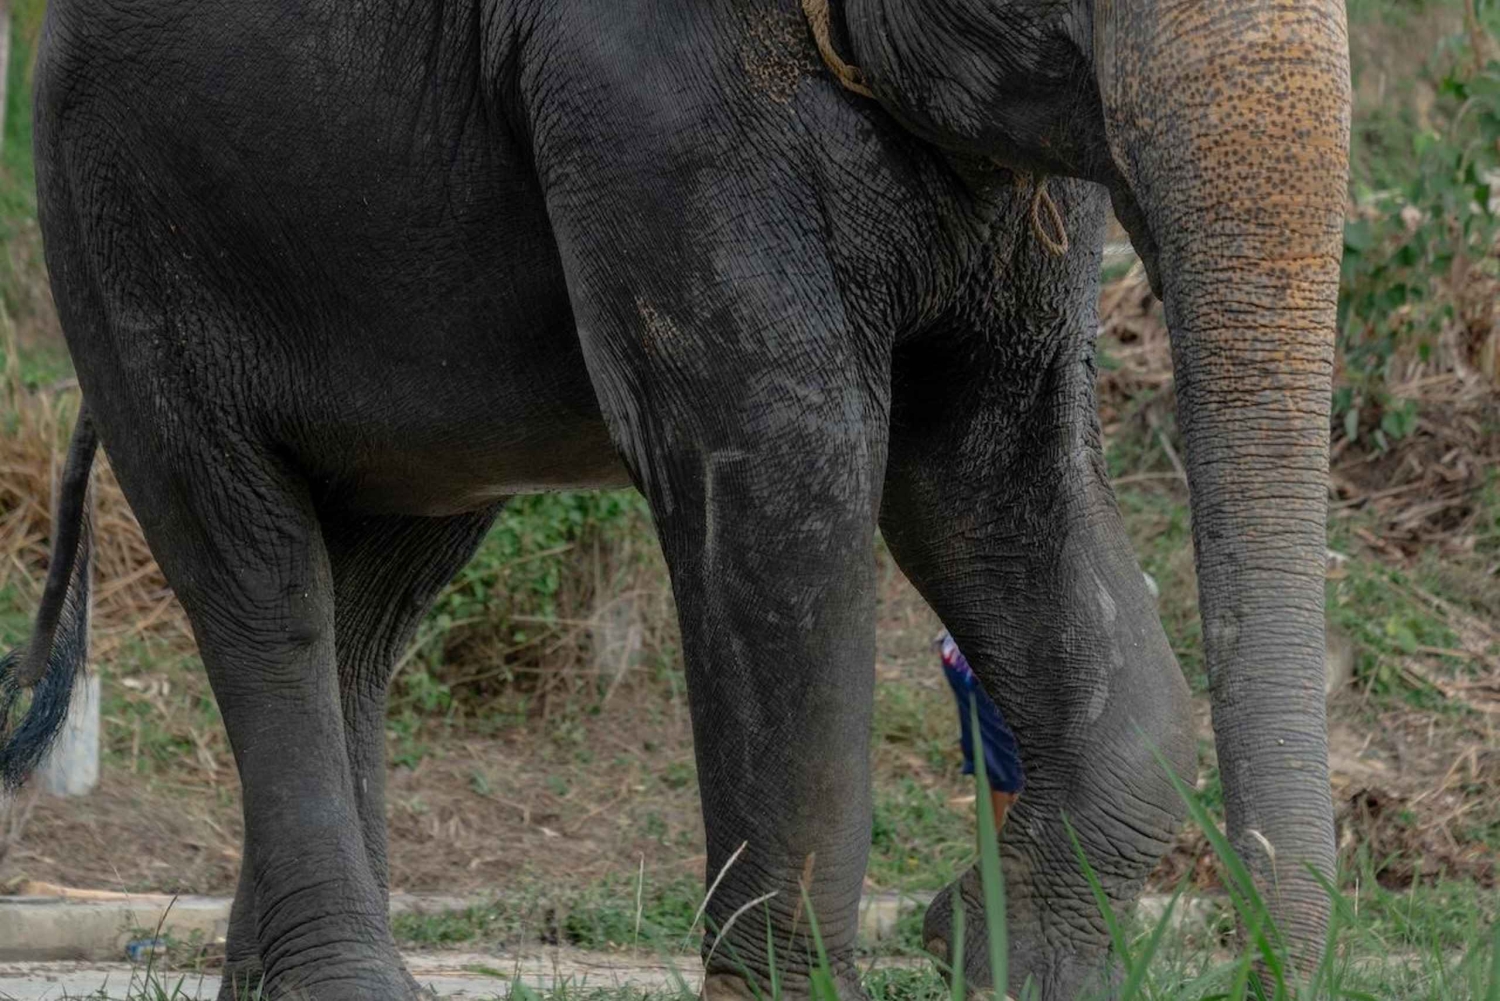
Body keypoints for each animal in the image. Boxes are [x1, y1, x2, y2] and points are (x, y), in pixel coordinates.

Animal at [0, 0, 1351, 998]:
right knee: (256, 573)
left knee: (373, 595)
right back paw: (347, 982)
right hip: (118, 213)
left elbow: (992, 465)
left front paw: (990, 947)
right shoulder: (654, 96)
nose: (1270, 968)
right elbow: (788, 459)